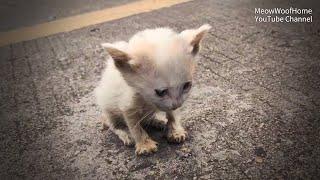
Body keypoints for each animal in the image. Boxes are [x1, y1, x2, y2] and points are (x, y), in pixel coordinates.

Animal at [94, 24, 211, 155]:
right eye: (160, 92)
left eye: (186, 85)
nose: (177, 104)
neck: (147, 100)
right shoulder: (126, 103)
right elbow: (134, 125)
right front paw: (144, 144)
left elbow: (172, 114)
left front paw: (175, 131)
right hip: (107, 106)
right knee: (113, 124)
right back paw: (125, 132)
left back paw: (156, 121)